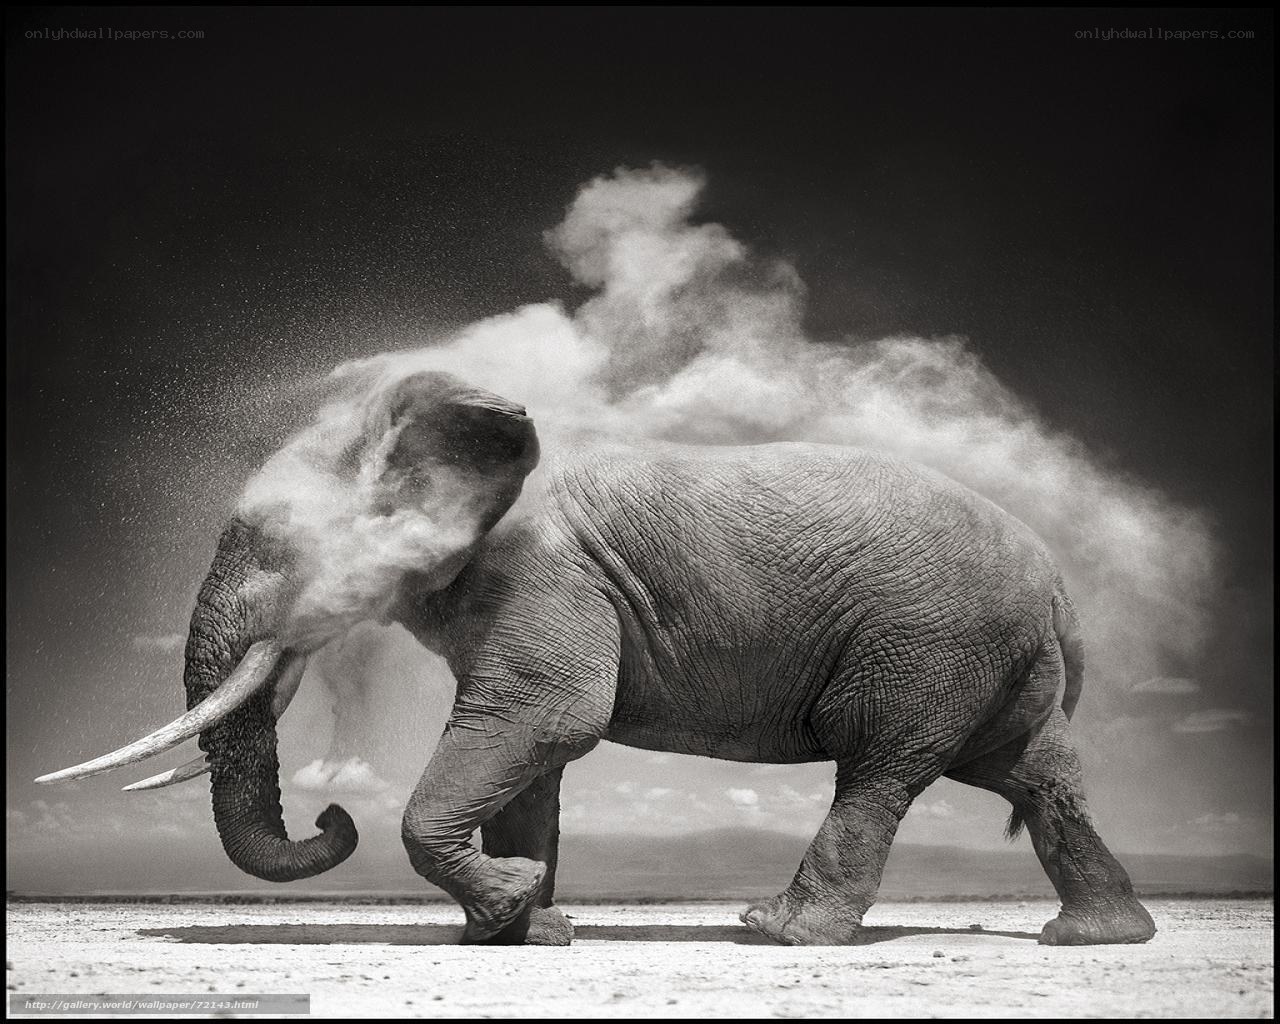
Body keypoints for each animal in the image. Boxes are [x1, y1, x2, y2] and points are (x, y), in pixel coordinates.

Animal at [38, 369, 1157, 948]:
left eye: (276, 548)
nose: (330, 816)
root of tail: (1058, 583)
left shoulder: (544, 575)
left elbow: (544, 719)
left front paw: (508, 905)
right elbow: (532, 758)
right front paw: (522, 924)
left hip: (928, 641)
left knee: (881, 767)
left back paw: (775, 931)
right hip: (988, 656)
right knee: (1030, 772)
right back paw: (1098, 937)